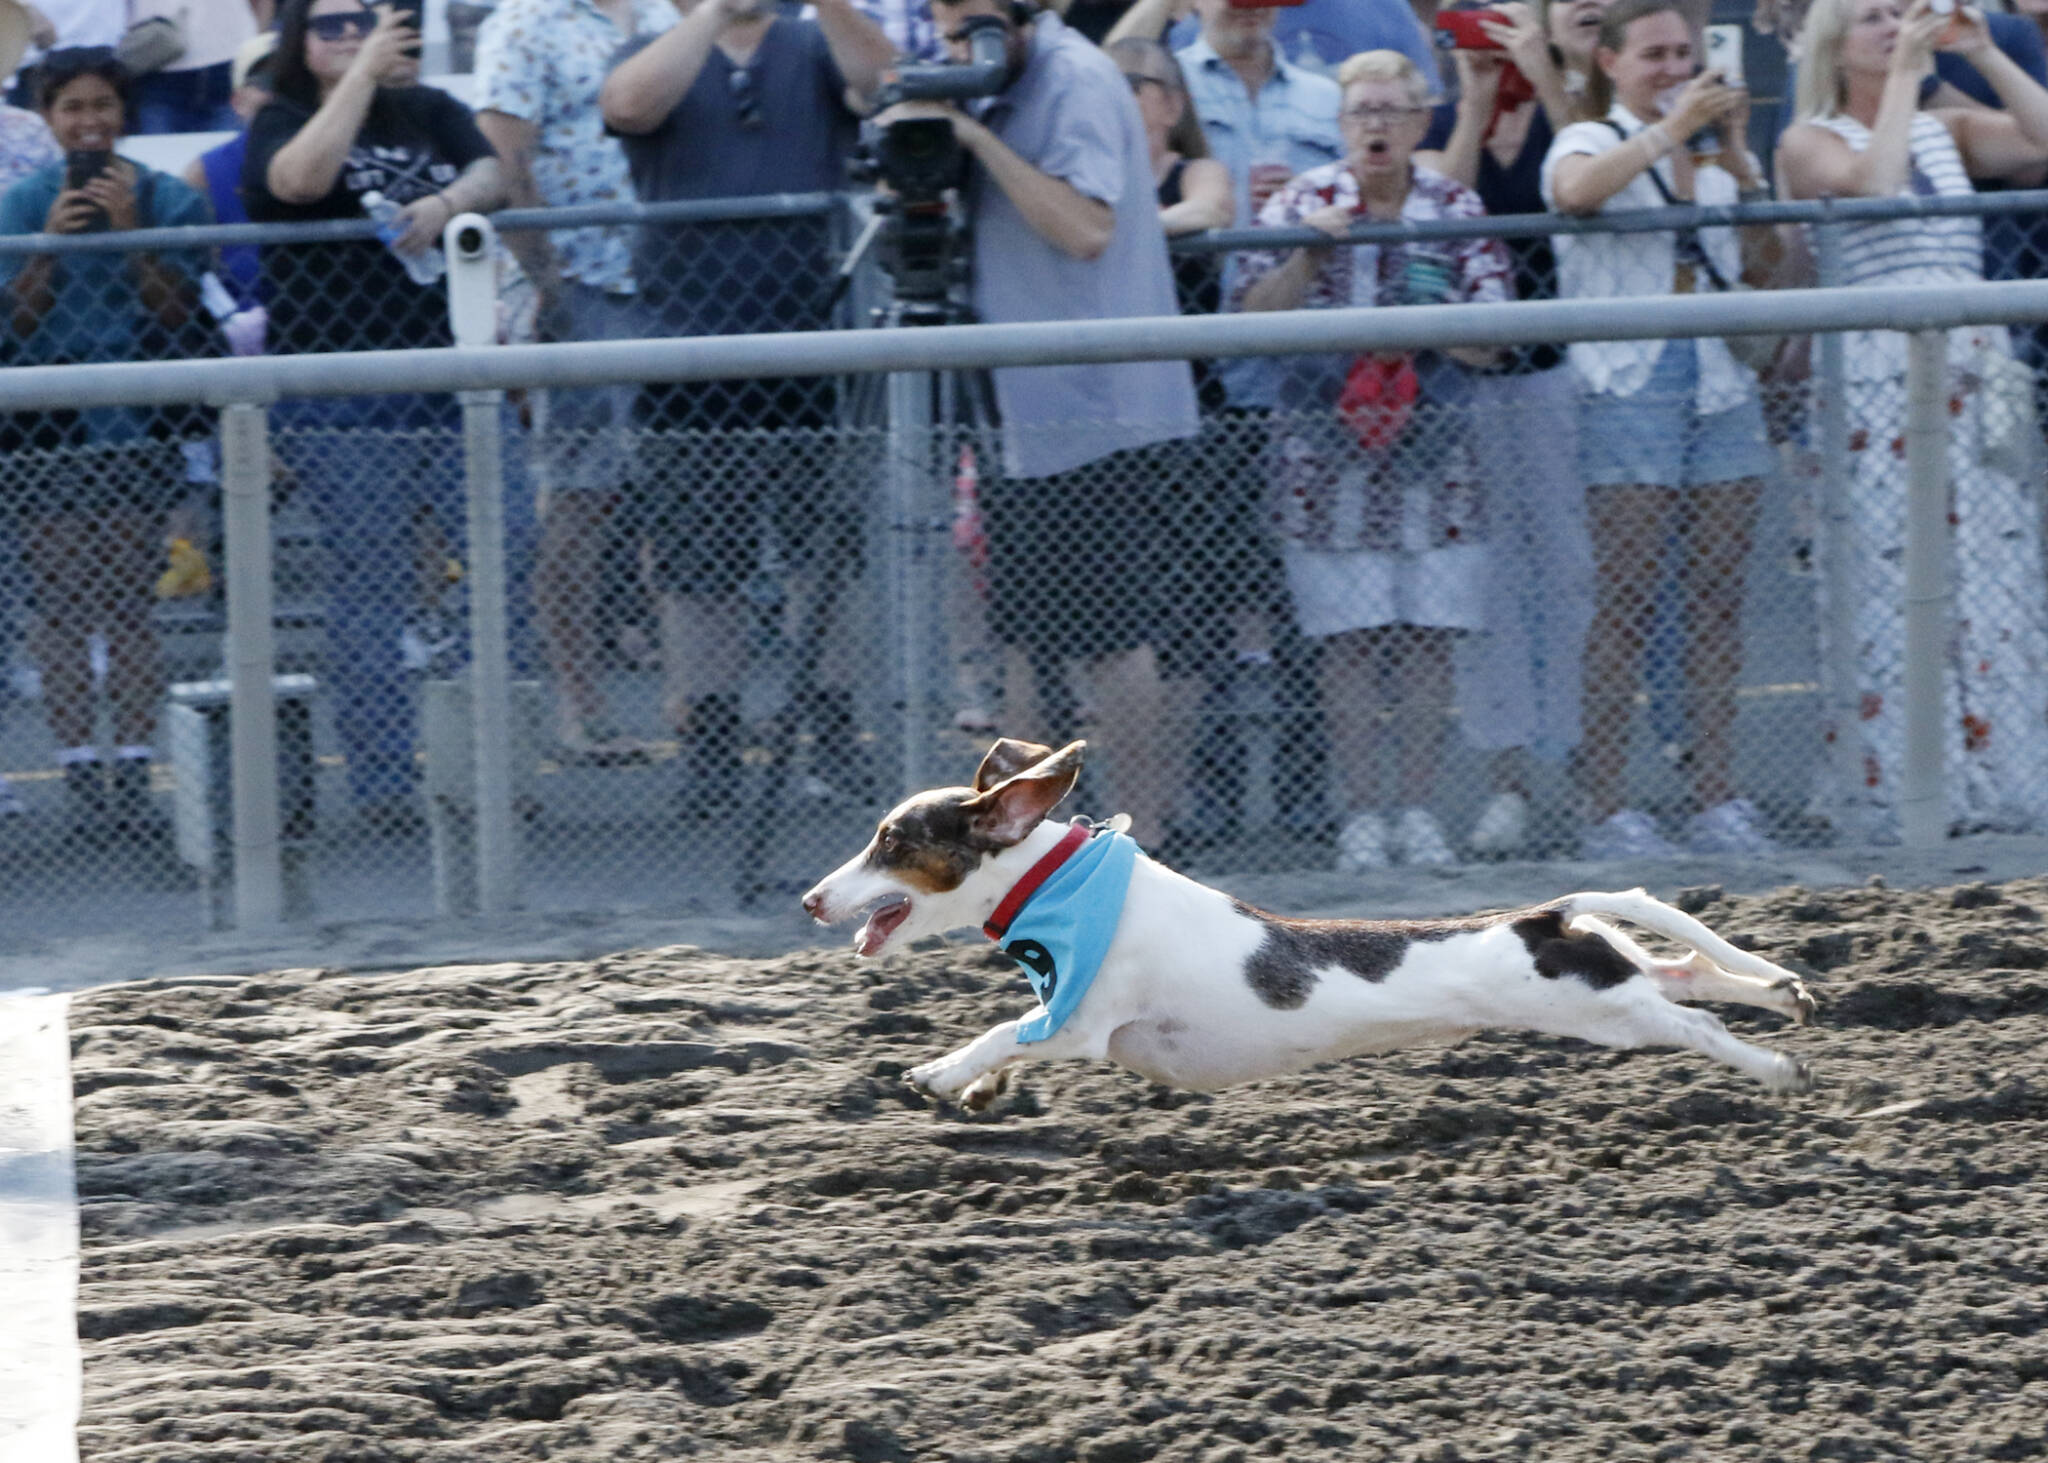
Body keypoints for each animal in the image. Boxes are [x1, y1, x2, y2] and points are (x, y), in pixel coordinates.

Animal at [802, 741, 1826, 1106]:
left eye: (890, 840)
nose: (811, 899)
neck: (1067, 887)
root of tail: (1541, 914)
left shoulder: (1084, 1019)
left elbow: (998, 1032)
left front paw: (939, 1074)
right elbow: (1011, 1047)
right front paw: (979, 1092)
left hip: (1603, 1012)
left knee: (1698, 1023)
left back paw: (1778, 1065)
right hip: (1608, 981)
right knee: (1690, 973)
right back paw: (1787, 993)